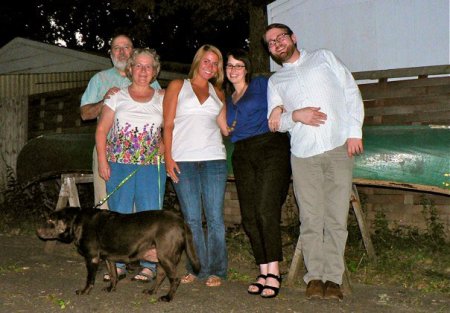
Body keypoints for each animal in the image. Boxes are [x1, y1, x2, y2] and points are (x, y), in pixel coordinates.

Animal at [37, 206, 200, 302]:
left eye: (51, 219)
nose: (37, 231)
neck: (77, 221)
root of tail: (180, 221)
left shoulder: (92, 258)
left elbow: (90, 278)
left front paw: (84, 291)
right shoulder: (109, 258)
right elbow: (113, 275)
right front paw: (111, 288)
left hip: (166, 256)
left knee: (175, 279)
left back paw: (168, 297)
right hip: (160, 257)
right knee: (161, 275)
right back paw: (151, 291)